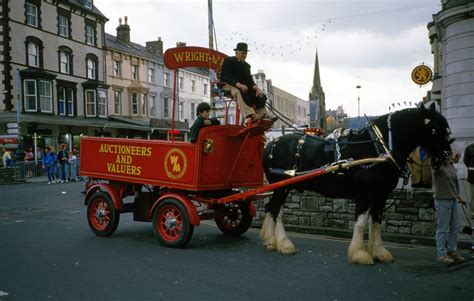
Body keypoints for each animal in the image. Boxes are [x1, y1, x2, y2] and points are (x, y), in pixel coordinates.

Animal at [262, 105, 454, 262]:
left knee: (273, 209)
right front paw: (359, 253)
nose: (448, 156)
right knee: (275, 210)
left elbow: (376, 222)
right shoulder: (365, 194)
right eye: (435, 129)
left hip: (281, 188)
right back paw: (284, 244)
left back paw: (271, 241)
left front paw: (379, 252)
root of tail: (270, 144)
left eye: (446, 128)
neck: (380, 148)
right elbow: (361, 222)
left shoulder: (381, 196)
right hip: (281, 187)